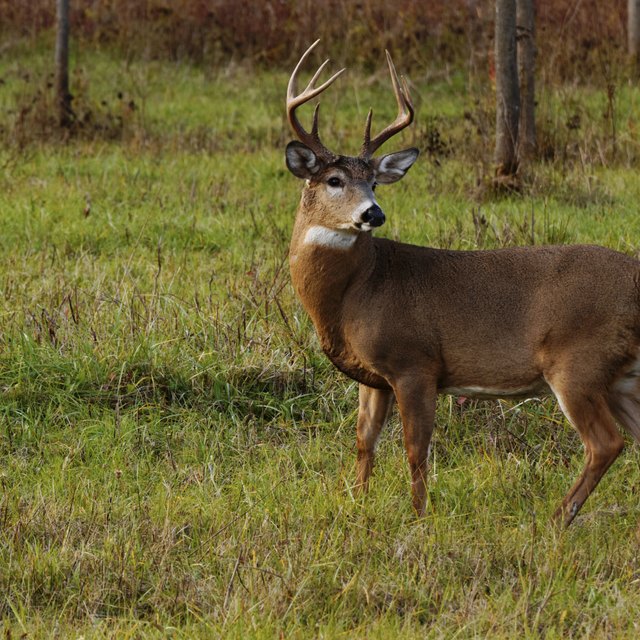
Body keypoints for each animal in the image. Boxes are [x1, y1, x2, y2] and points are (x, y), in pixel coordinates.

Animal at [284, 42, 640, 528]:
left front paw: (419, 517)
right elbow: (364, 442)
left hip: (579, 362)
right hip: (622, 376)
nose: (373, 213)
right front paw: (356, 505)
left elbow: (415, 449)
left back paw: (555, 519)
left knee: (606, 443)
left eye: (374, 182)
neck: (356, 292)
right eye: (334, 180)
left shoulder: (415, 362)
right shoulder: (374, 377)